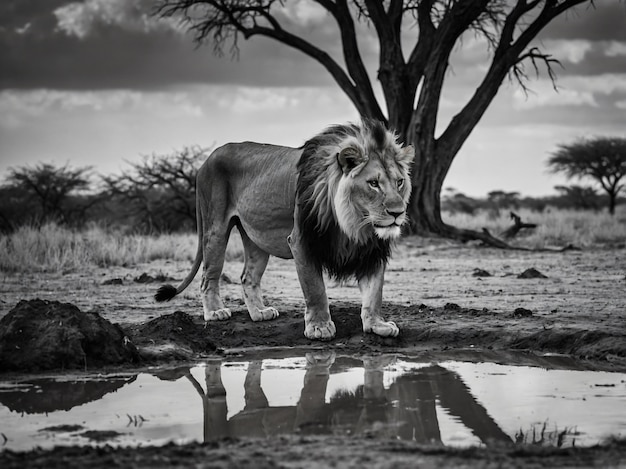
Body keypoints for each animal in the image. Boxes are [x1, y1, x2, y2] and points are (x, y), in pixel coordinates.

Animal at [154, 119, 412, 340]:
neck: (355, 225)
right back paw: (215, 312)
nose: (398, 212)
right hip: (215, 228)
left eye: (399, 182)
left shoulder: (373, 250)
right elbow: (315, 288)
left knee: (248, 277)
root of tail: (207, 159)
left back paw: (259, 313)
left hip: (256, 237)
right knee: (208, 275)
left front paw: (377, 324)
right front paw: (319, 327)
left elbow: (374, 292)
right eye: (373, 183)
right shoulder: (301, 240)